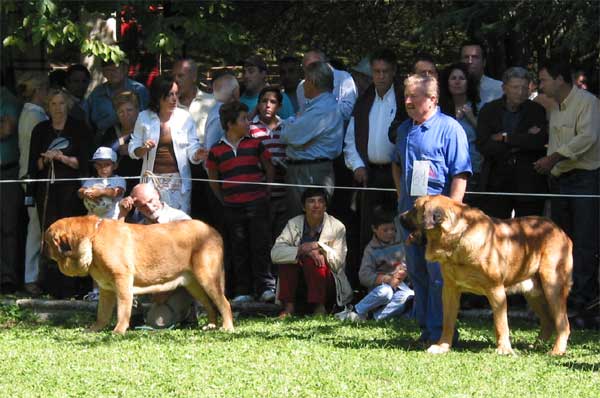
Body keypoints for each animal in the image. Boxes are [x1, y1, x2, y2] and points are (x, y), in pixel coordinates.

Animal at [43, 215, 232, 332]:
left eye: (48, 242)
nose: (42, 250)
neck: (92, 237)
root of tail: (214, 231)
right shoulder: (106, 289)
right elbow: (102, 313)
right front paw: (94, 329)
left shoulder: (122, 280)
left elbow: (123, 309)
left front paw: (118, 330)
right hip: (194, 284)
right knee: (210, 305)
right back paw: (211, 325)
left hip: (208, 278)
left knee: (224, 303)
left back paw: (227, 328)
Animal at [400, 195, 576, 354]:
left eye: (415, 208)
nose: (400, 216)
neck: (457, 240)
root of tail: (560, 231)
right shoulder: (450, 290)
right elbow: (448, 321)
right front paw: (442, 346)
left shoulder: (496, 290)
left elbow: (500, 323)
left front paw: (504, 349)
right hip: (533, 293)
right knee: (548, 322)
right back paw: (535, 346)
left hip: (552, 287)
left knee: (563, 324)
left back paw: (556, 351)